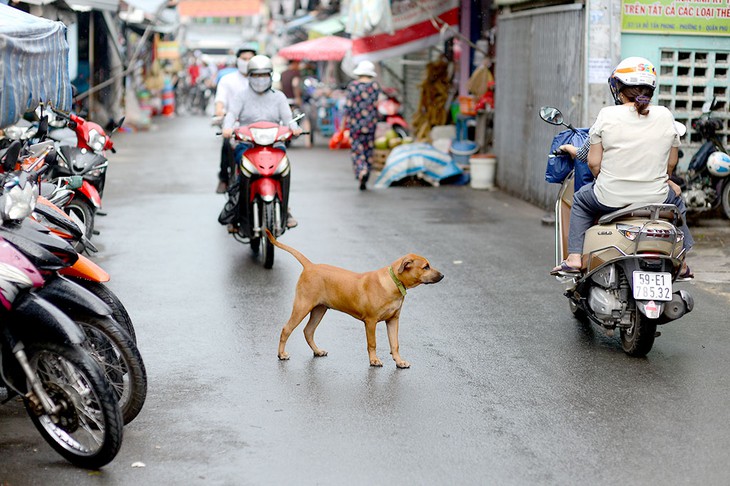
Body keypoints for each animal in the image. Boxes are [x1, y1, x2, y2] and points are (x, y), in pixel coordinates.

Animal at [264, 232, 440, 368]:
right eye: (426, 267)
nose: (443, 275)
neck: (393, 282)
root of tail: (310, 266)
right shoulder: (370, 321)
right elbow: (372, 343)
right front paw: (374, 360)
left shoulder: (393, 320)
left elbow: (395, 344)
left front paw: (399, 361)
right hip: (302, 306)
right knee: (286, 329)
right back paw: (281, 354)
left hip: (319, 309)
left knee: (308, 331)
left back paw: (317, 351)